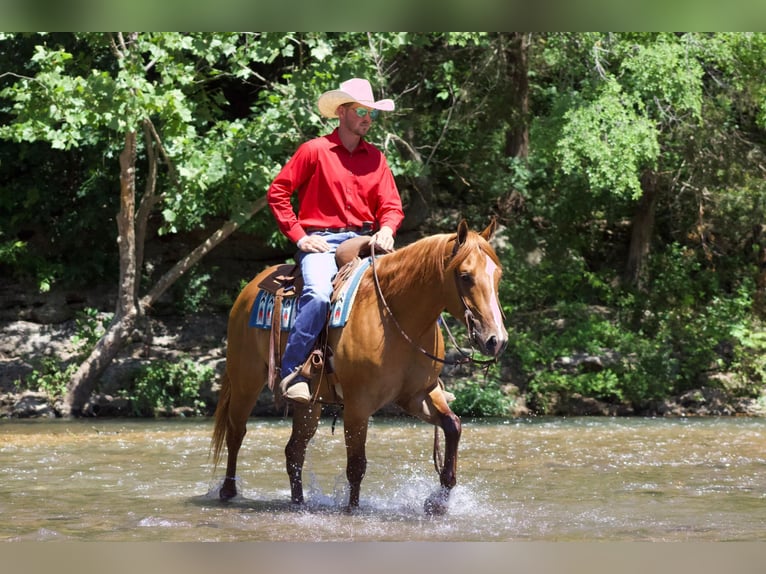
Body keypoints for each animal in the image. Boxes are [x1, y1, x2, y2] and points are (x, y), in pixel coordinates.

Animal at [212, 219, 510, 512]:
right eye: (465, 275)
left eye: (498, 275)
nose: (496, 340)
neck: (394, 314)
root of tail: (250, 288)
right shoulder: (358, 404)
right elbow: (356, 465)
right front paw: (353, 509)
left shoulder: (417, 395)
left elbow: (453, 425)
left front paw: (437, 502)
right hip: (245, 381)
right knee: (236, 432)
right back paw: (227, 491)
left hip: (309, 404)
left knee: (294, 450)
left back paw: (298, 502)